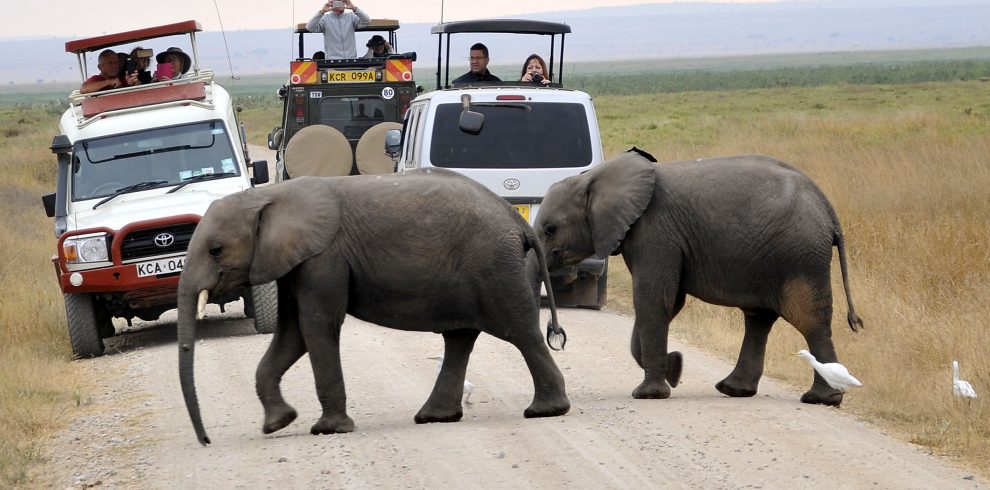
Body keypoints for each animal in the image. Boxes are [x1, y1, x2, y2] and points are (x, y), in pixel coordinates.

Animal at [174, 170, 568, 446]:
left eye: (215, 250)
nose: (206, 441)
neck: (266, 196)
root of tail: (517, 221)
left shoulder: (324, 258)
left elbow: (317, 326)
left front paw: (328, 430)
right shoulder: (292, 262)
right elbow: (293, 333)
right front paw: (278, 423)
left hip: (494, 266)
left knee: (520, 330)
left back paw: (546, 411)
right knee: (460, 338)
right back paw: (434, 417)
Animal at [532, 148, 864, 406]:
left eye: (550, 230)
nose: (556, 333)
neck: (592, 177)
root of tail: (828, 210)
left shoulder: (655, 231)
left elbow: (654, 300)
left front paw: (649, 393)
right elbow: (667, 302)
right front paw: (675, 368)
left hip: (800, 256)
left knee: (808, 319)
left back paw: (820, 398)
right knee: (759, 318)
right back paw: (734, 389)